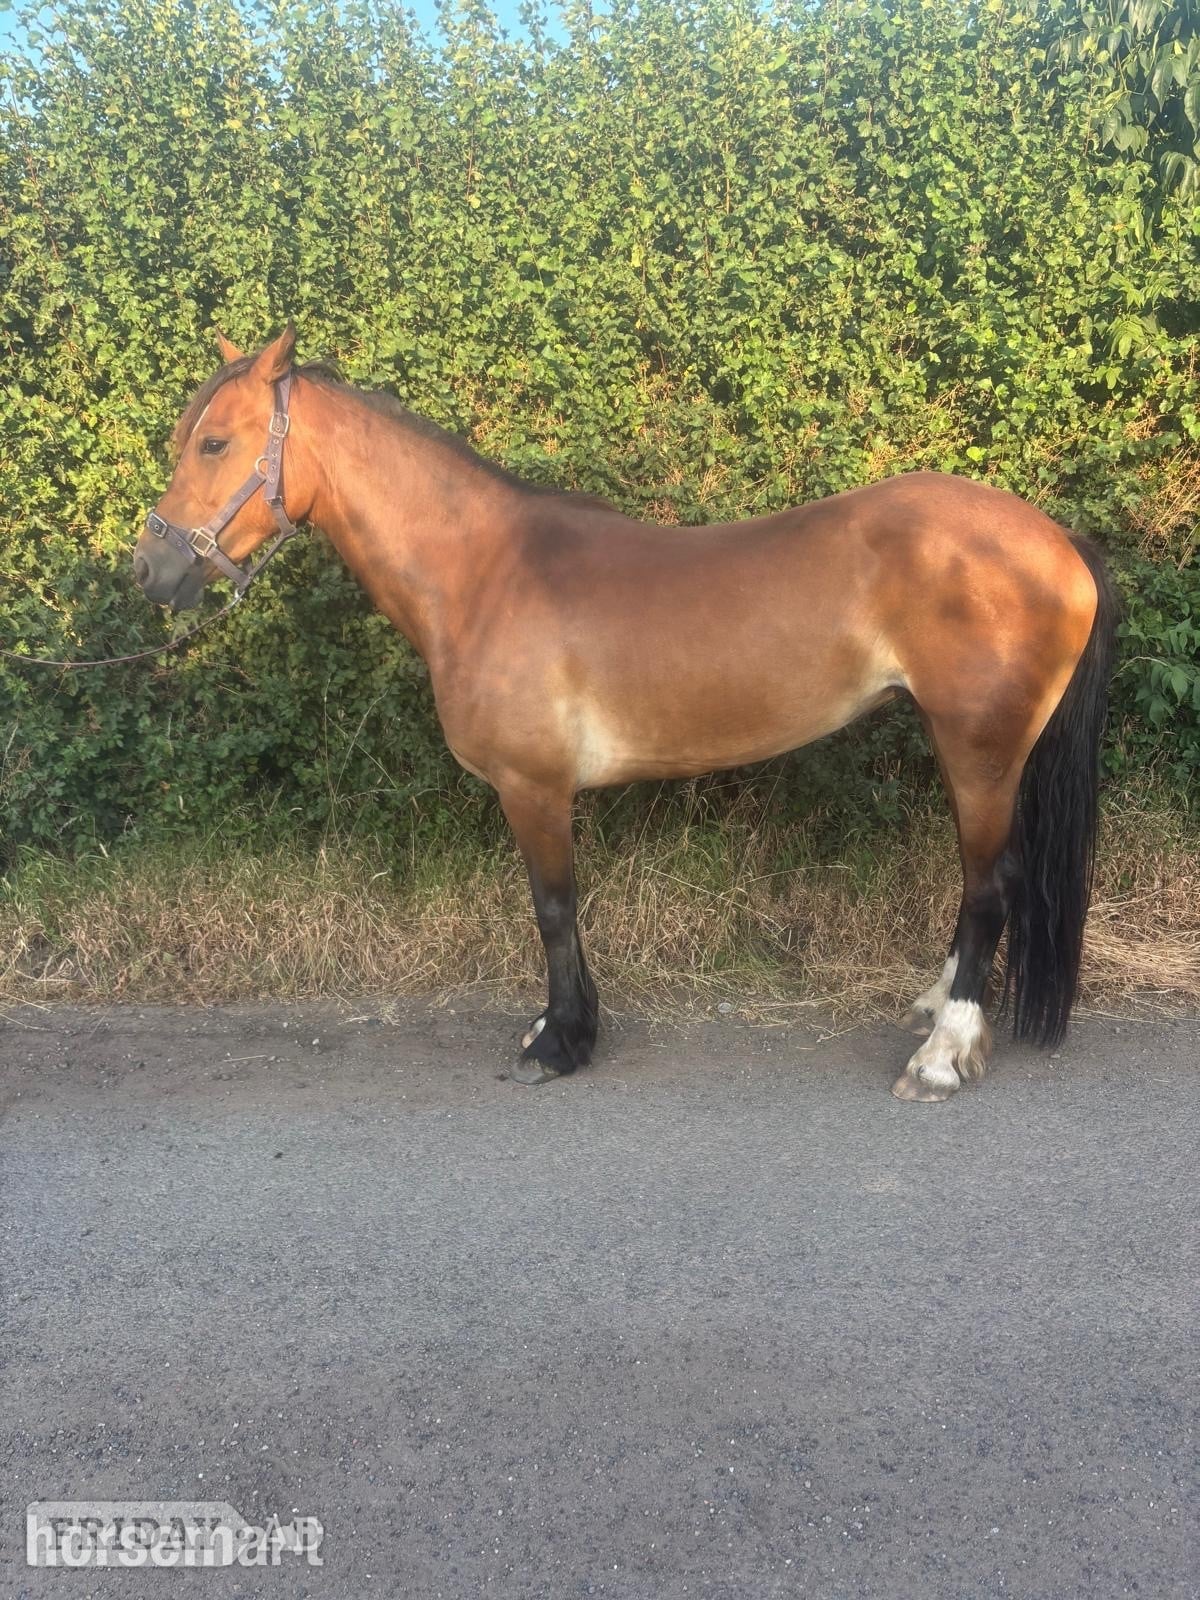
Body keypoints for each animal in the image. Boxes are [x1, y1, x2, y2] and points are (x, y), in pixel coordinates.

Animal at [133, 327, 1116, 1101]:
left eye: (214, 443)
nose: (150, 570)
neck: (483, 574)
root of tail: (1056, 540)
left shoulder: (533, 787)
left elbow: (553, 907)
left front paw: (561, 1041)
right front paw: (561, 1030)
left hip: (980, 749)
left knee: (989, 887)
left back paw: (944, 1054)